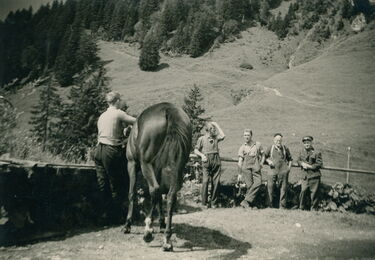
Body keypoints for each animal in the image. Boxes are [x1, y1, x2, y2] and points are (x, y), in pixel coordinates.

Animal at [123, 101, 192, 250]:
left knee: (154, 189)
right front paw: (161, 223)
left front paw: (127, 225)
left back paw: (148, 231)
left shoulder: (132, 164)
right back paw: (167, 238)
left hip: (145, 164)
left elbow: (132, 193)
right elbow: (160, 197)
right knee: (171, 196)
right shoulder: (158, 169)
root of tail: (169, 110)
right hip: (178, 167)